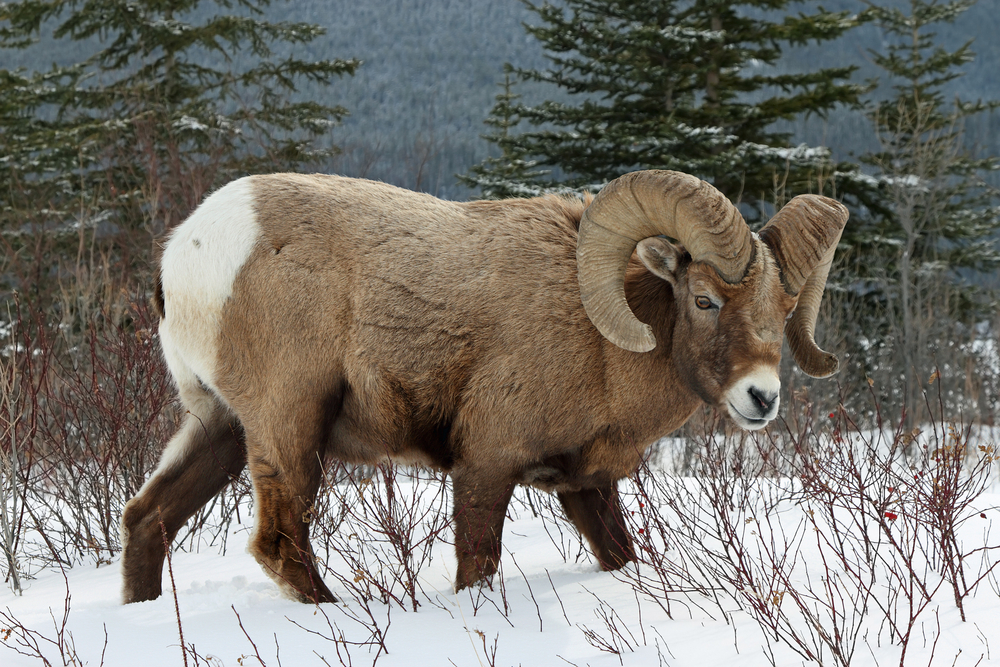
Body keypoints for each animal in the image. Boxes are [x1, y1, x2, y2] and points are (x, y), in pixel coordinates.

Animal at [121, 168, 848, 604]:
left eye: (784, 308)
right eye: (703, 299)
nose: (761, 397)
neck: (599, 342)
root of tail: (187, 252)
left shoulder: (587, 484)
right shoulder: (486, 465)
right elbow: (478, 562)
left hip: (218, 426)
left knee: (147, 518)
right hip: (290, 424)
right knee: (279, 543)